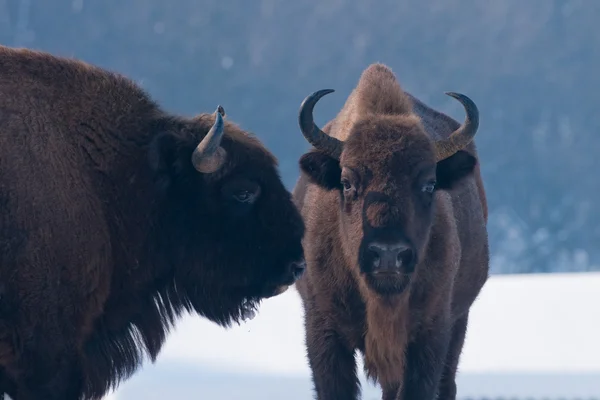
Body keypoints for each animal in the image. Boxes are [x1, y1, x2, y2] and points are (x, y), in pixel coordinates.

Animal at [292, 63, 490, 400]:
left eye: (429, 184)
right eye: (346, 182)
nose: (387, 254)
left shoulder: (430, 334)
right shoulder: (324, 331)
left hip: (458, 323)